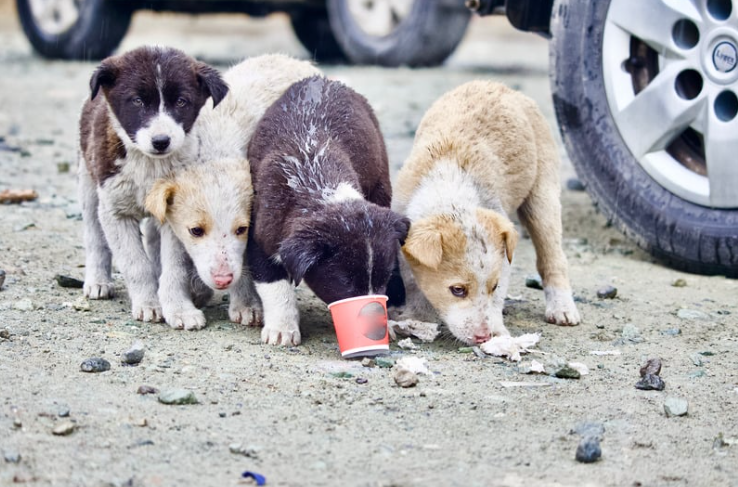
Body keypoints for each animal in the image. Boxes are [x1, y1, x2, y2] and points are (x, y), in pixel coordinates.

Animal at [77, 43, 227, 322]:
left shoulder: (174, 214)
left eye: (181, 102)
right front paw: (148, 303)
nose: (161, 141)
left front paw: (179, 308)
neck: (149, 165)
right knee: (94, 236)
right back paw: (98, 281)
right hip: (88, 182)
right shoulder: (115, 211)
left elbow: (174, 267)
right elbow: (136, 264)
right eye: (137, 101)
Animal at [144, 54, 320, 332]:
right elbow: (175, 259)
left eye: (241, 229)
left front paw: (246, 305)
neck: (216, 149)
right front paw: (183, 305)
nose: (223, 279)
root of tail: (291, 58)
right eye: (196, 230)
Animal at [246, 75, 408, 346]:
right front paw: (282, 328)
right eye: (345, 281)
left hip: (380, 181)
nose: (372, 317)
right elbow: (274, 283)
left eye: (382, 279)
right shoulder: (260, 234)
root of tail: (325, 79)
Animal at [392, 81, 580, 346]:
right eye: (457, 290)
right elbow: (412, 283)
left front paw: (498, 331)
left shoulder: (503, 259)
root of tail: (500, 86)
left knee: (552, 257)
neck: (450, 192)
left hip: (543, 193)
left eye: (494, 286)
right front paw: (415, 318)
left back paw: (562, 308)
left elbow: (496, 299)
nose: (483, 336)